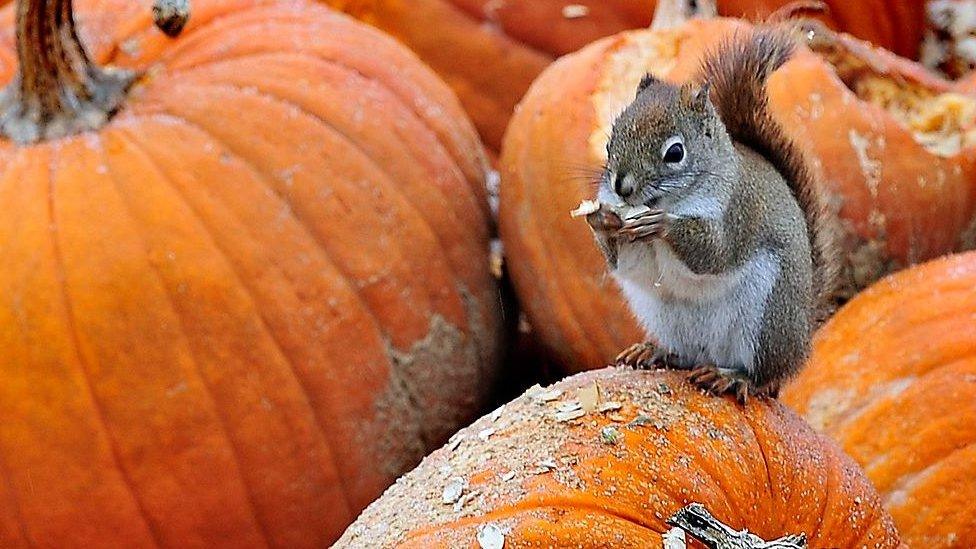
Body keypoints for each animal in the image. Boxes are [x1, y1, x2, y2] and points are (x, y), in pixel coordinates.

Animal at [584, 27, 836, 400]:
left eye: (675, 153)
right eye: (609, 142)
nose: (621, 188)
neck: (672, 201)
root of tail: (802, 340)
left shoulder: (736, 211)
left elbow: (714, 255)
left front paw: (663, 225)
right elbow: (627, 264)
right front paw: (601, 219)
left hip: (766, 318)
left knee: (764, 375)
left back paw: (734, 377)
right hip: (663, 316)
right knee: (686, 354)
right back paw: (657, 351)